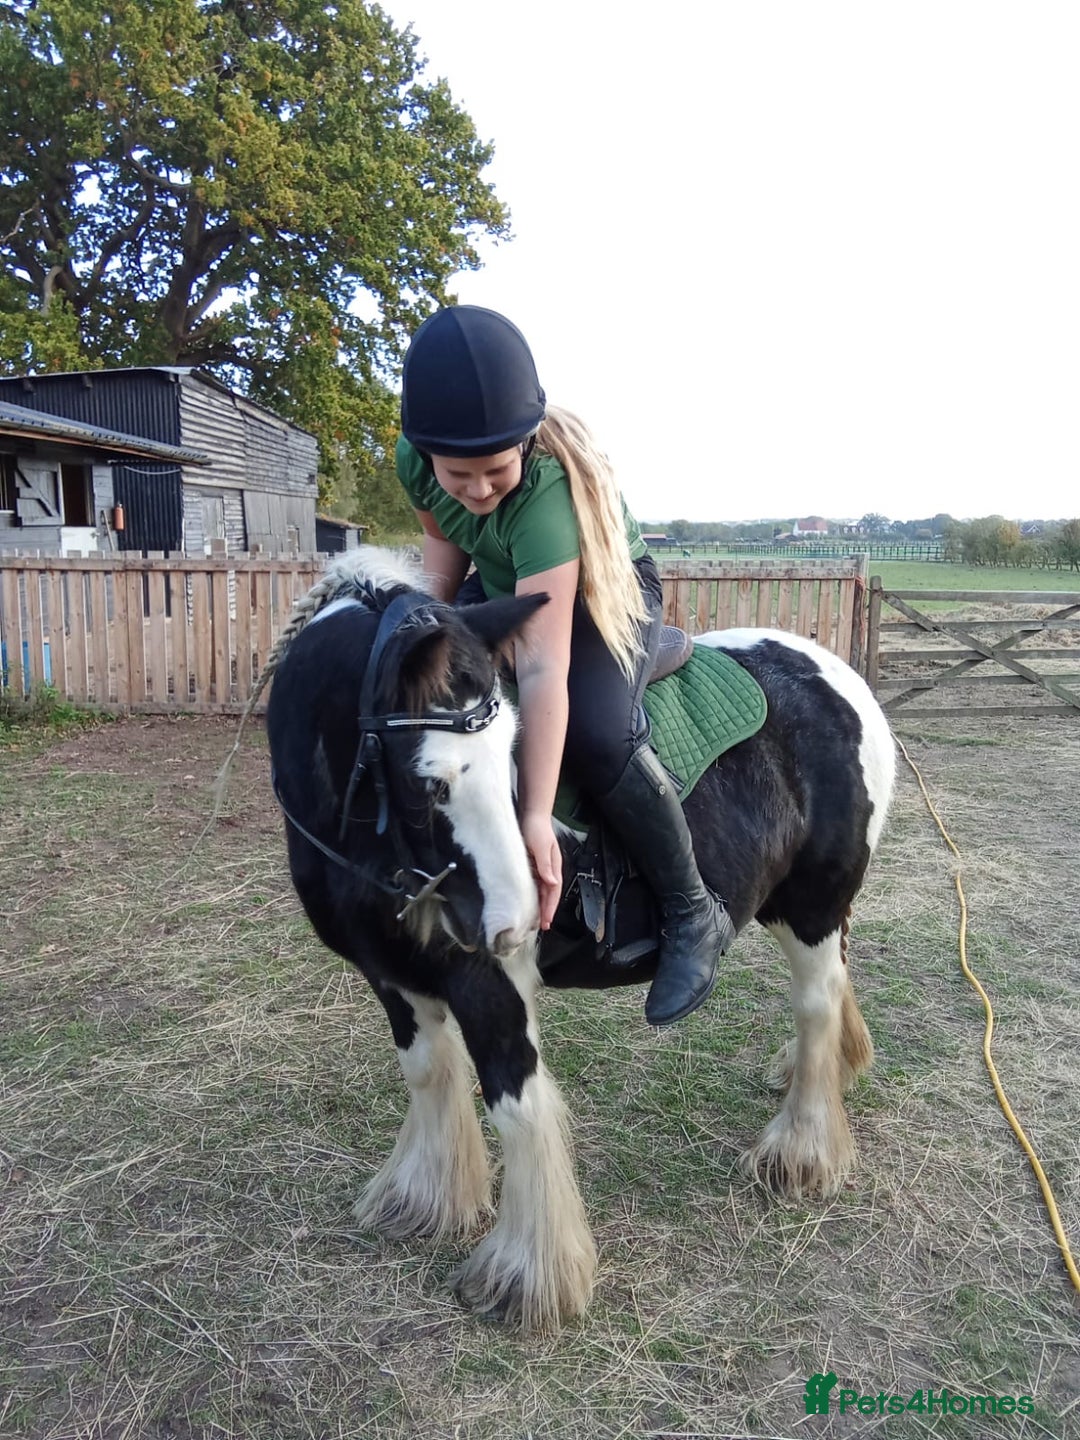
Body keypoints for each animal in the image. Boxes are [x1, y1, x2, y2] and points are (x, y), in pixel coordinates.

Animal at [261, 547, 896, 1331]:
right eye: (430, 782)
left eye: (513, 752)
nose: (513, 921)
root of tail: (838, 675)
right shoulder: (391, 974)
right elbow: (428, 1073)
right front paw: (423, 1199)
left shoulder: (490, 985)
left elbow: (516, 1104)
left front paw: (527, 1277)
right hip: (793, 905)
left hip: (812, 903)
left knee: (815, 1003)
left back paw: (801, 1150)